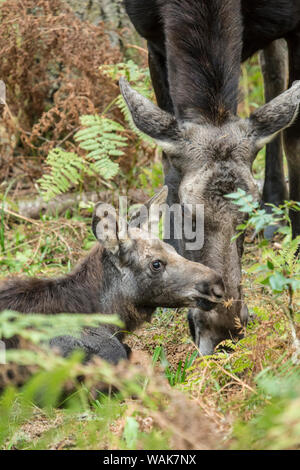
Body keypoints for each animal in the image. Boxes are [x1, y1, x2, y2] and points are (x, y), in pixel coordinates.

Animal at [122, 0, 300, 352]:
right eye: (186, 213)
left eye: (248, 214)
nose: (224, 332)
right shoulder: (153, 37)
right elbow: (168, 164)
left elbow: (295, 139)